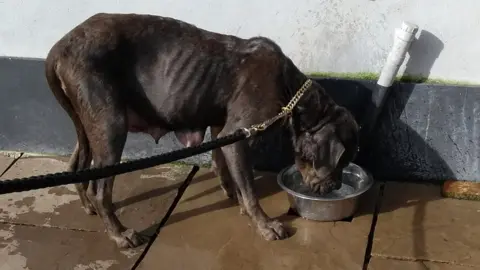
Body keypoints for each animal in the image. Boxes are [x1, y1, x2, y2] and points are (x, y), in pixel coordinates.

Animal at [45, 13, 358, 249]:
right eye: (341, 160)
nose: (335, 187)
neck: (291, 91)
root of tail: (58, 48)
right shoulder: (238, 135)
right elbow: (249, 188)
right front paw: (264, 224)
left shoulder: (222, 130)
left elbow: (225, 166)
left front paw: (236, 198)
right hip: (111, 126)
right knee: (101, 189)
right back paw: (120, 234)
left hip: (90, 125)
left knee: (78, 165)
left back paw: (88, 206)